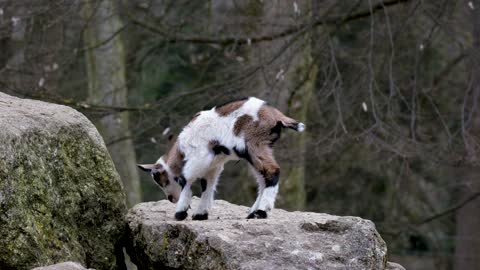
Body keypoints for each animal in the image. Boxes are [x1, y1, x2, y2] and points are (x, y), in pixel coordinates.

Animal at [138, 96, 304, 220]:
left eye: (161, 180)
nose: (171, 199)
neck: (182, 149)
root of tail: (276, 115)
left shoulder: (199, 158)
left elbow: (187, 179)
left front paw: (181, 212)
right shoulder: (213, 165)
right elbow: (208, 185)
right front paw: (200, 214)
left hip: (253, 145)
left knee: (272, 171)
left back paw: (261, 212)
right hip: (256, 150)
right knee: (263, 179)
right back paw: (253, 213)